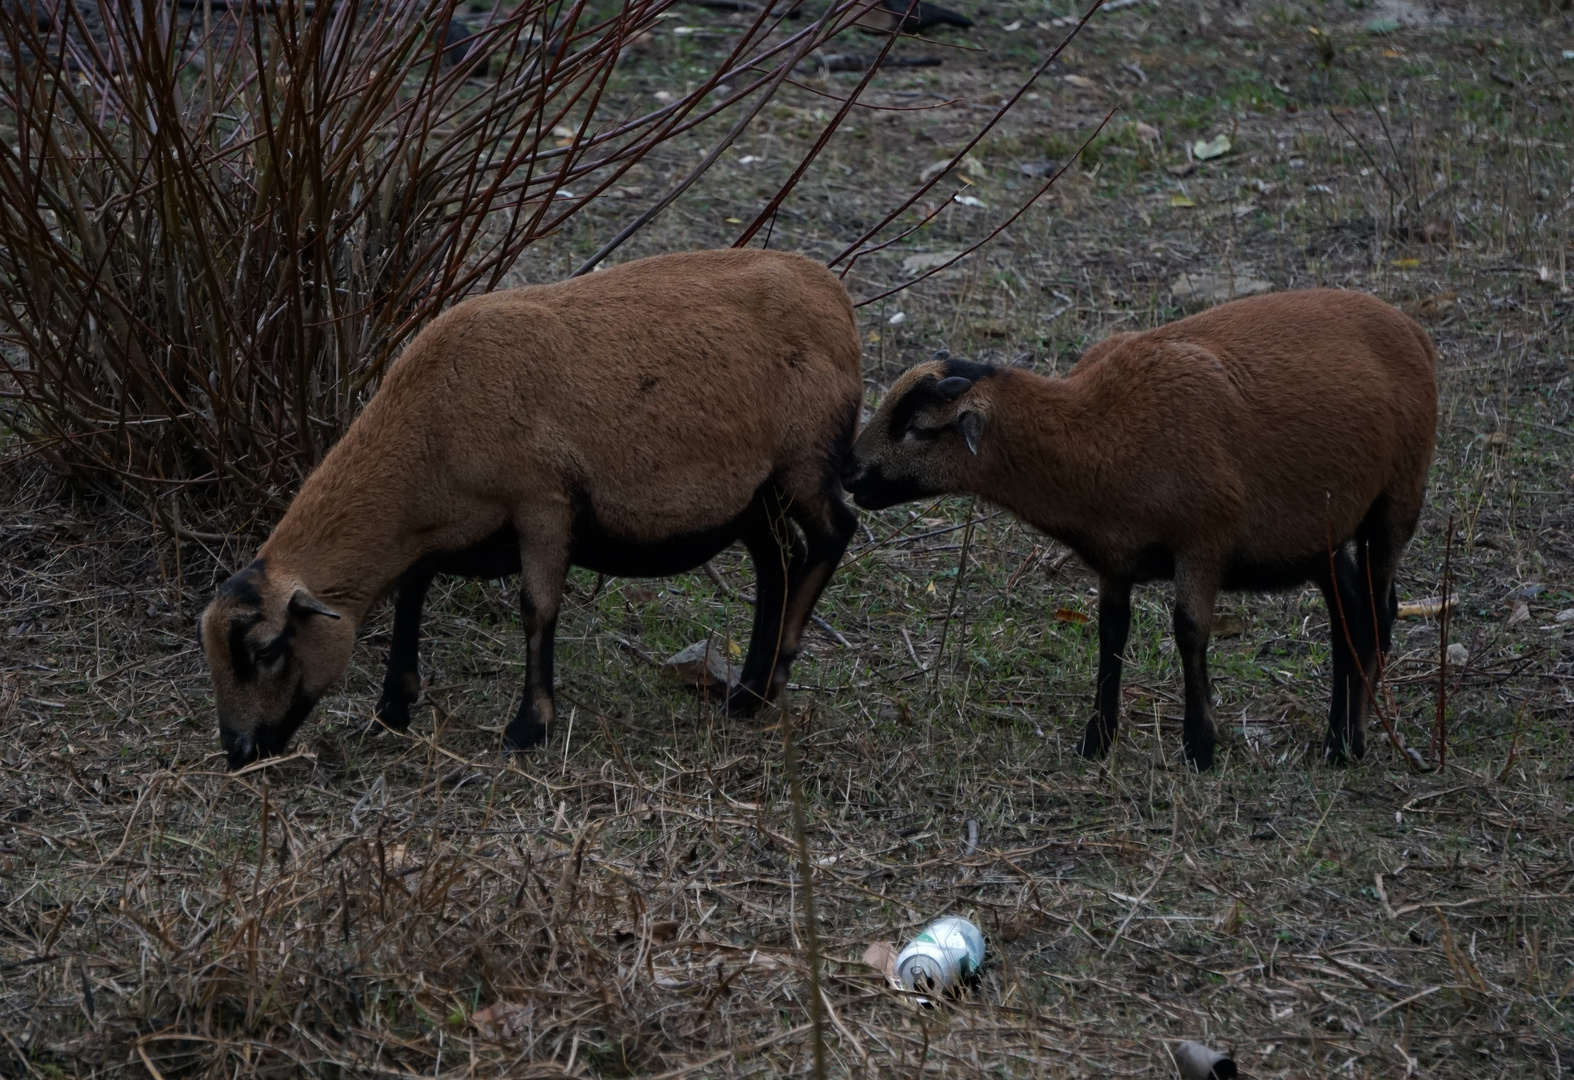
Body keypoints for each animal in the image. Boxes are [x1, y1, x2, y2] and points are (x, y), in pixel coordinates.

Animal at [201, 247, 862, 771]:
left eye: (266, 651)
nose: (238, 752)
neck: (429, 430)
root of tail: (834, 296)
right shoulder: (448, 528)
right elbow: (411, 596)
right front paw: (391, 709)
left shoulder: (543, 503)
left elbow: (536, 609)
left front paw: (529, 727)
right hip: (753, 493)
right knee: (780, 559)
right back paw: (749, 689)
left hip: (804, 461)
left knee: (835, 532)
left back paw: (774, 675)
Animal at [843, 289, 1435, 771]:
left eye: (918, 428)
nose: (848, 473)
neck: (1095, 430)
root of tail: (1414, 330)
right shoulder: (1115, 555)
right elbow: (1112, 634)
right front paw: (1097, 740)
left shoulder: (1204, 540)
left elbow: (1189, 630)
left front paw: (1200, 747)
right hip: (1319, 531)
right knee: (1349, 615)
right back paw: (1337, 738)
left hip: (1397, 500)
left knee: (1380, 613)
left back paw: (1354, 740)